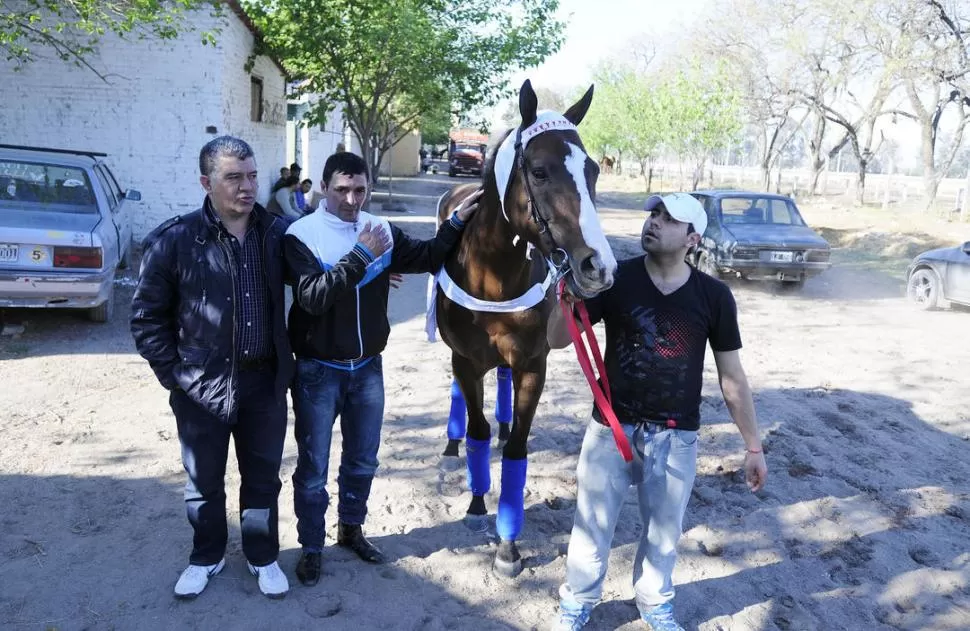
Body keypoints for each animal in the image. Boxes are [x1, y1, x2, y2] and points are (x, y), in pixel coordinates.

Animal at [432, 80, 616, 576]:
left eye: (593, 170)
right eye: (539, 170)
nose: (598, 266)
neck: (494, 277)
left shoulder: (533, 364)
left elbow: (516, 449)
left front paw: (508, 545)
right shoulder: (465, 359)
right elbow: (476, 430)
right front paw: (477, 502)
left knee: (502, 385)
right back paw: (453, 444)